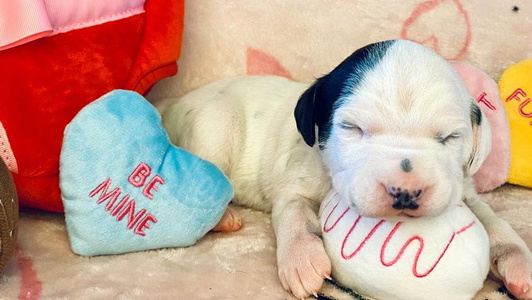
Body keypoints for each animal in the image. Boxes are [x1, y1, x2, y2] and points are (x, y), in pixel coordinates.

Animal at [159, 40, 532, 300]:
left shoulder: (465, 191)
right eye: (352, 128)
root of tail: (174, 104)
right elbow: (295, 214)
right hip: (215, 126)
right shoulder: (296, 185)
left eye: (450, 137)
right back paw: (222, 217)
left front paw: (519, 263)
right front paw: (302, 260)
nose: (405, 192)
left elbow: (495, 222)